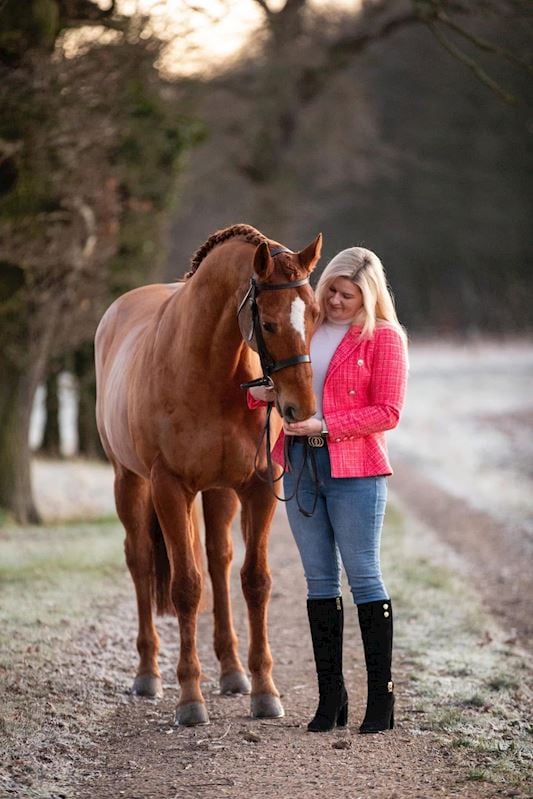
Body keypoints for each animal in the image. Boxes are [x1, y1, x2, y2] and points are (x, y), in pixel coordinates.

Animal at [94, 223, 320, 724]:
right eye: (269, 323)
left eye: (315, 314)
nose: (300, 409)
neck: (206, 369)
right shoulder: (168, 487)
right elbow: (185, 587)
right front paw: (190, 698)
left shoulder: (257, 487)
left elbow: (254, 581)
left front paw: (264, 691)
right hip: (128, 482)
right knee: (141, 560)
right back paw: (148, 675)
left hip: (220, 493)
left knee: (219, 560)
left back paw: (233, 672)